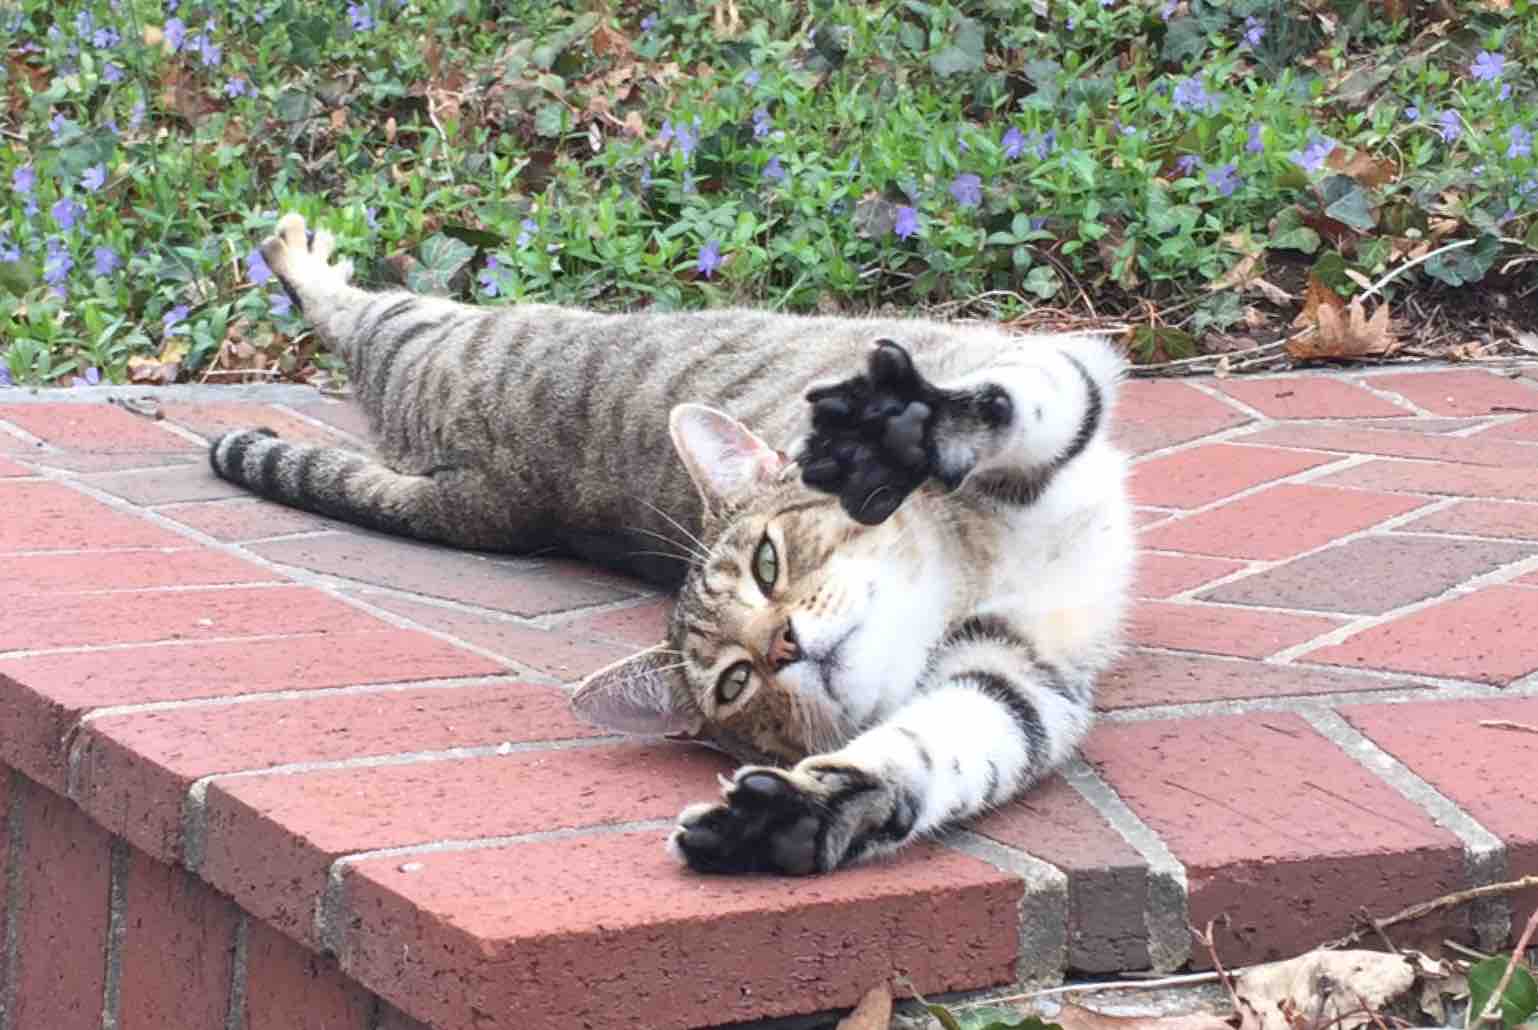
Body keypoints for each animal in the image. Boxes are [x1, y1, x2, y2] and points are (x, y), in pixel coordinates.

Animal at [210, 212, 1135, 876]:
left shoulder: (1042, 371)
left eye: (768, 562)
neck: (973, 576)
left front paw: (903, 426)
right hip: (439, 341)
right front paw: (803, 815)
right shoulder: (1016, 675)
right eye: (734, 683)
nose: (786, 644)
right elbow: (935, 748)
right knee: (364, 316)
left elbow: (1011, 401)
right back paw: (297, 255)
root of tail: (485, 491)